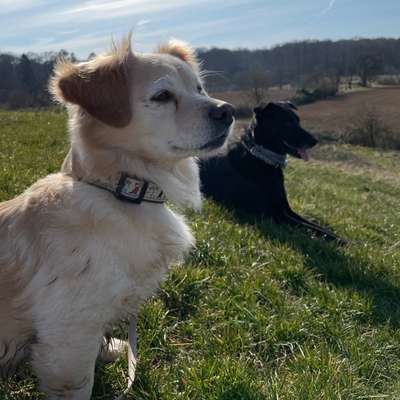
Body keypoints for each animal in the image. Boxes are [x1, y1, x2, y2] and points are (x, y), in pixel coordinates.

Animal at [0, 36, 234, 398]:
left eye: (200, 88)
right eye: (162, 96)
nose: (228, 111)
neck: (119, 192)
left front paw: (109, 350)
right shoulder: (68, 332)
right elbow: (80, 382)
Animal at [200, 101, 346, 244]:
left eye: (298, 121)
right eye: (287, 123)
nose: (314, 141)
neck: (261, 158)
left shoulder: (287, 210)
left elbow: (316, 226)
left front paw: (340, 237)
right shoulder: (276, 215)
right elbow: (312, 229)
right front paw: (344, 242)